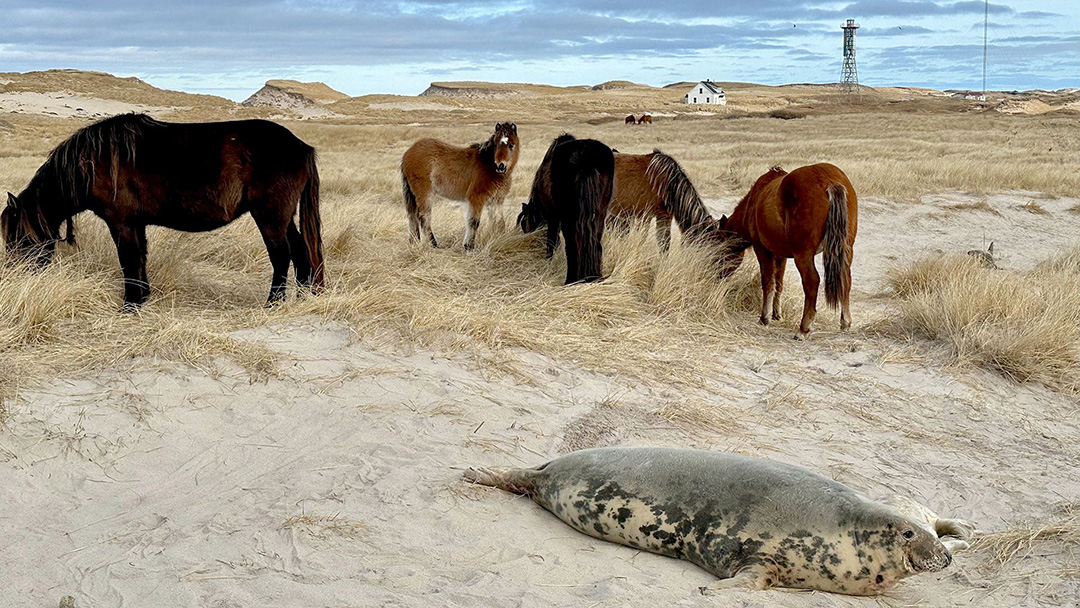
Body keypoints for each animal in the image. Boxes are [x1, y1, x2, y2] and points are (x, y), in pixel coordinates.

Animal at [2, 113, 324, 310]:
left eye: (19, 238)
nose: (15, 276)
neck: (93, 163)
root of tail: (301, 147)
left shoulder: (121, 223)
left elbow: (128, 260)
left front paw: (130, 304)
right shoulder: (136, 223)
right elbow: (139, 258)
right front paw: (142, 297)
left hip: (270, 217)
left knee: (282, 256)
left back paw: (274, 302)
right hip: (284, 218)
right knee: (301, 251)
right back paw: (305, 295)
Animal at [712, 163, 857, 338]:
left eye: (720, 251)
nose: (717, 276)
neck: (753, 202)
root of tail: (829, 181)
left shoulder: (763, 251)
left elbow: (768, 282)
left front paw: (765, 318)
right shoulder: (780, 255)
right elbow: (779, 283)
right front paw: (776, 314)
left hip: (803, 255)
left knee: (811, 282)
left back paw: (803, 328)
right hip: (846, 249)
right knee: (845, 279)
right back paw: (845, 322)